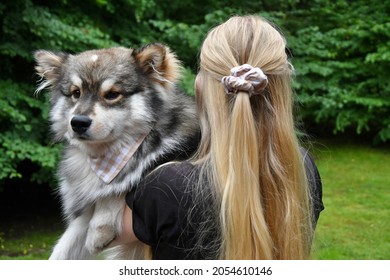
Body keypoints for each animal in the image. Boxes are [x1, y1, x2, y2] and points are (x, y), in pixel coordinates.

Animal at [34, 43, 200, 260]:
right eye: (76, 92)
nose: (78, 122)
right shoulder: (83, 214)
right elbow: (63, 249)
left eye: (112, 94)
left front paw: (100, 229)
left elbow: (119, 186)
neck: (105, 155)